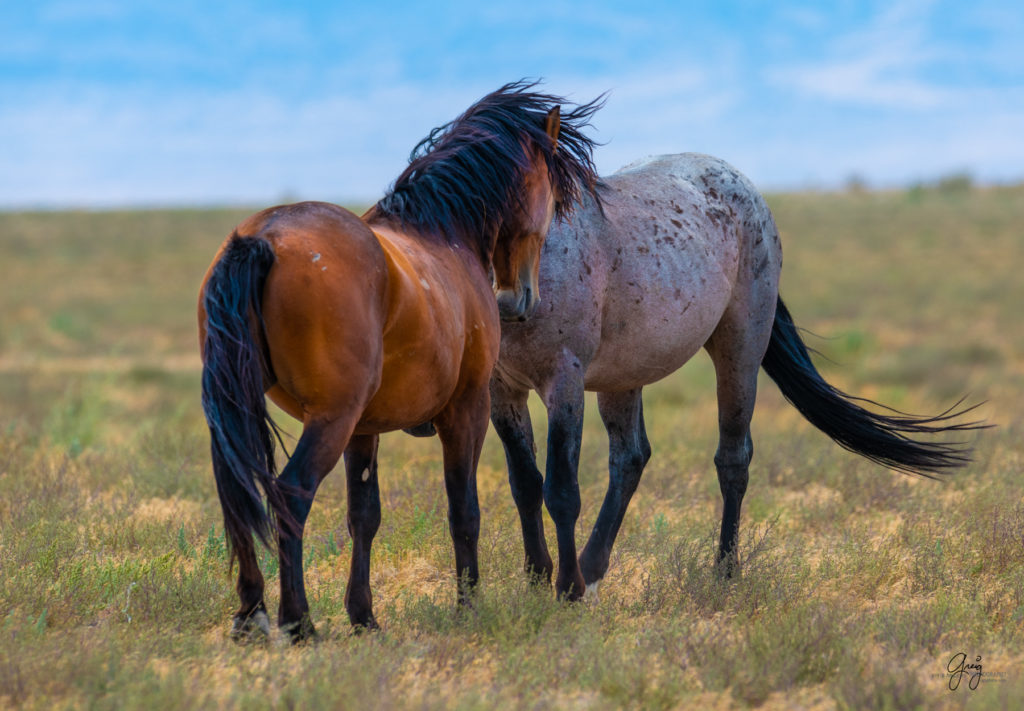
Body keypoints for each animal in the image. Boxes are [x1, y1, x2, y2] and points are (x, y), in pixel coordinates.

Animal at [195, 81, 602, 639]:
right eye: (553, 196)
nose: (520, 299)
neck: (443, 235)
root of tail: (265, 237)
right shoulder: (467, 411)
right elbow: (464, 510)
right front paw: (468, 606)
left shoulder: (365, 431)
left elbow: (364, 516)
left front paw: (363, 615)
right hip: (331, 420)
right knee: (291, 495)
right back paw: (298, 622)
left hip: (252, 414)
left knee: (241, 497)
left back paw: (251, 614)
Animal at [489, 151, 983, 602]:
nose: (509, 300)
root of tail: (741, 184)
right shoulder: (503, 391)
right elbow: (524, 483)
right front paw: (536, 580)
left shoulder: (564, 383)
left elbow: (560, 489)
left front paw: (564, 590)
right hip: (623, 374)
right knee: (629, 457)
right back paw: (593, 569)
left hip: (739, 351)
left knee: (731, 458)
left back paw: (723, 573)